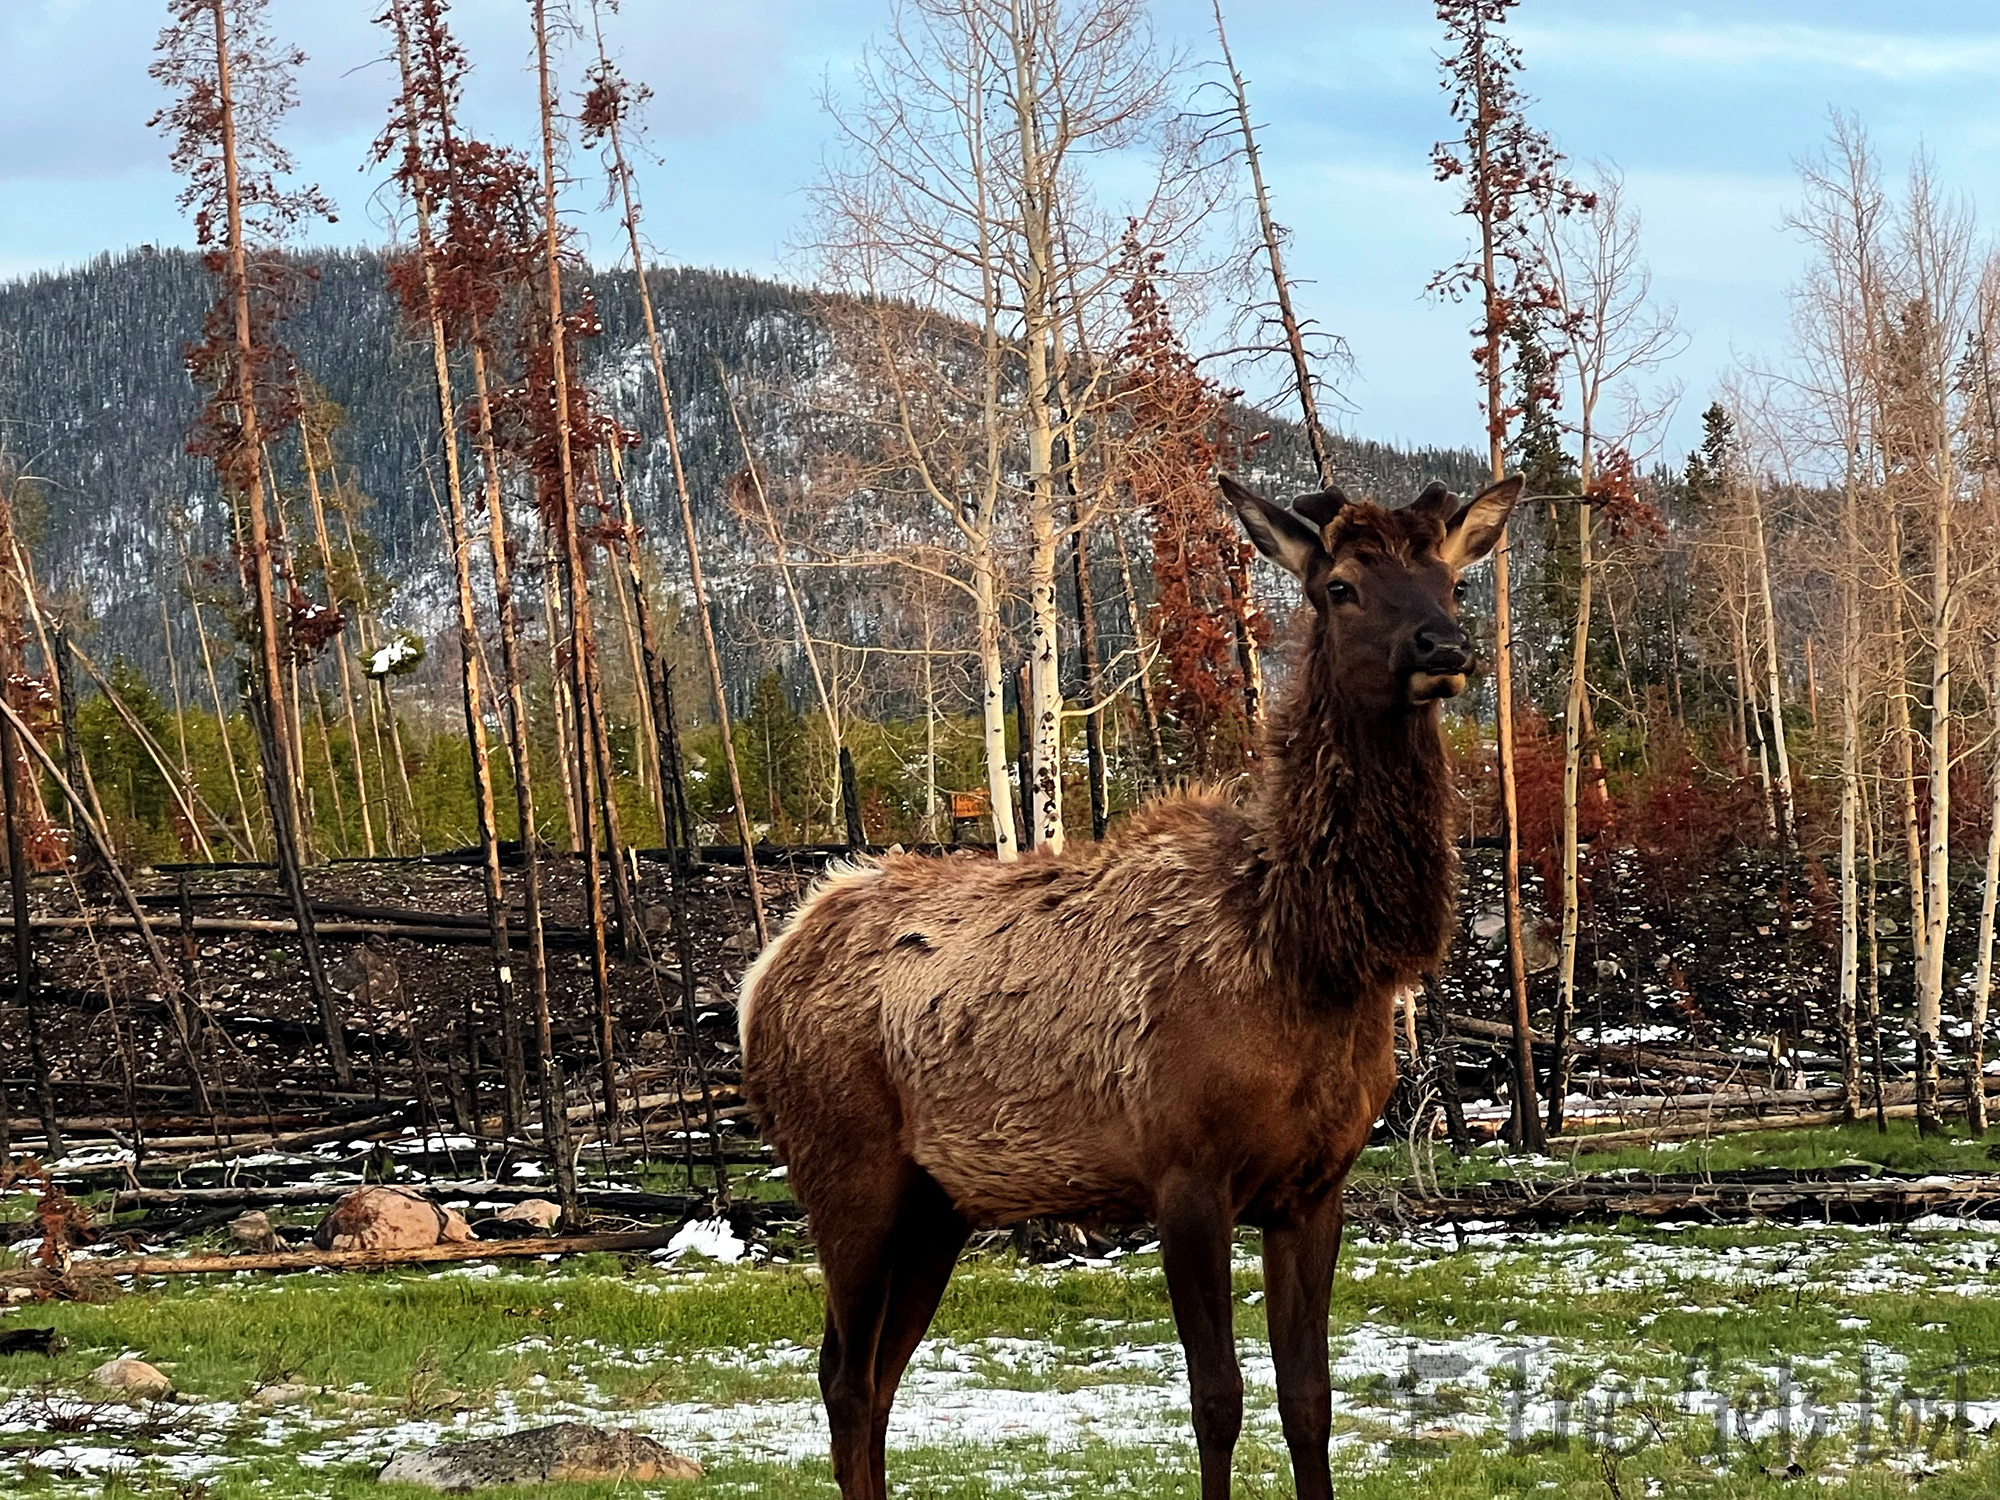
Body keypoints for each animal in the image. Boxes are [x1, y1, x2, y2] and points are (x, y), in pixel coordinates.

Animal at [744, 472, 1520, 1500]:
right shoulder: (1184, 1171)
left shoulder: (1316, 1186)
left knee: (874, 1378)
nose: (1444, 647)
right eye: (1340, 586)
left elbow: (1309, 1400)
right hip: (845, 1171)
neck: (1314, 959)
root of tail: (761, 977)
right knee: (839, 1373)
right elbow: (1217, 1401)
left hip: (937, 1205)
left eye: (1454, 582)